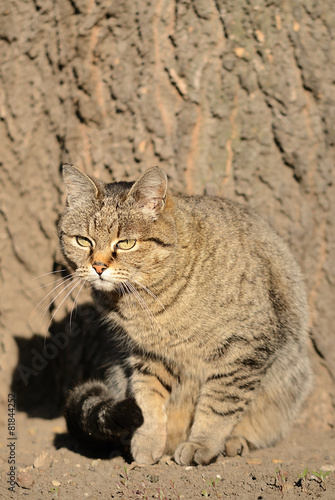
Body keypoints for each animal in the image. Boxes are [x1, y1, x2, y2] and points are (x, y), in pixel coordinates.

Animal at [57, 164, 312, 464]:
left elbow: (219, 403)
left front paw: (202, 443)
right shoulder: (149, 353)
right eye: (83, 241)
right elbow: (148, 396)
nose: (98, 266)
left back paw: (232, 442)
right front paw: (147, 439)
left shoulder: (244, 347)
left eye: (127, 243)